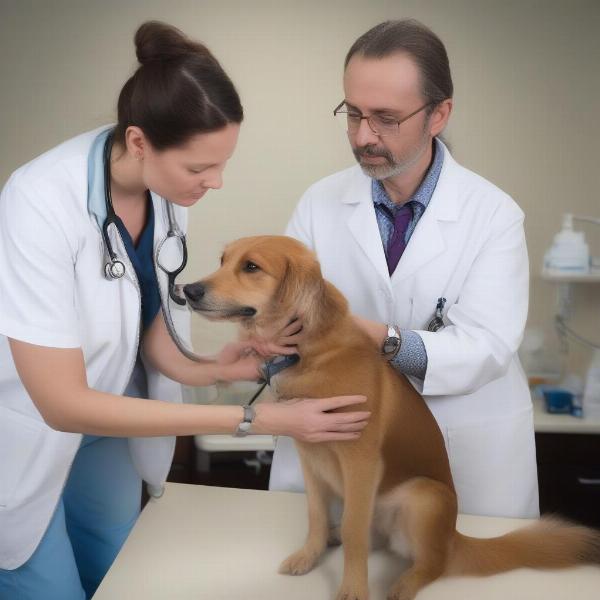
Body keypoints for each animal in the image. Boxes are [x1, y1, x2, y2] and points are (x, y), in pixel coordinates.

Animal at [182, 234, 600, 600]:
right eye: (223, 260)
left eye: (251, 267)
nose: (186, 290)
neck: (312, 354)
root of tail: (453, 537)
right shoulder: (310, 459)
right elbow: (315, 515)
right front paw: (309, 555)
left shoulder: (361, 462)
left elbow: (355, 532)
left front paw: (353, 588)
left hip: (423, 497)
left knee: (432, 564)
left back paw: (404, 583)